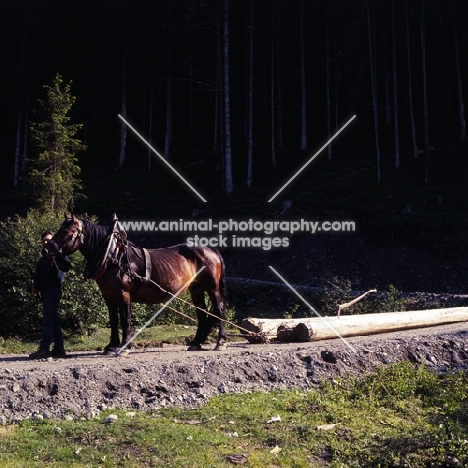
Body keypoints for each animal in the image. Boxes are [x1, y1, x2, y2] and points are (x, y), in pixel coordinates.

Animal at [50, 214, 228, 352]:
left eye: (66, 231)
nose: (48, 248)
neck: (112, 255)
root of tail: (211, 250)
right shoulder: (108, 295)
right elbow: (113, 319)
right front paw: (111, 346)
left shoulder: (123, 293)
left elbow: (125, 318)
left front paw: (124, 345)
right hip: (196, 288)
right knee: (202, 313)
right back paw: (196, 343)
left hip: (211, 287)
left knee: (219, 309)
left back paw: (221, 341)